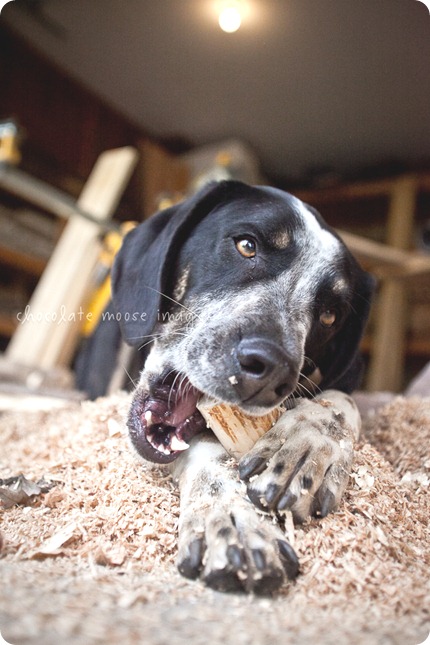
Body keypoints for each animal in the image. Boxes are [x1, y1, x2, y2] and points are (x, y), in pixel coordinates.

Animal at [112, 181, 374, 592]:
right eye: (246, 245)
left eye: (330, 315)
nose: (272, 369)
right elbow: (208, 452)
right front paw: (233, 522)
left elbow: (338, 401)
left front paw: (309, 442)